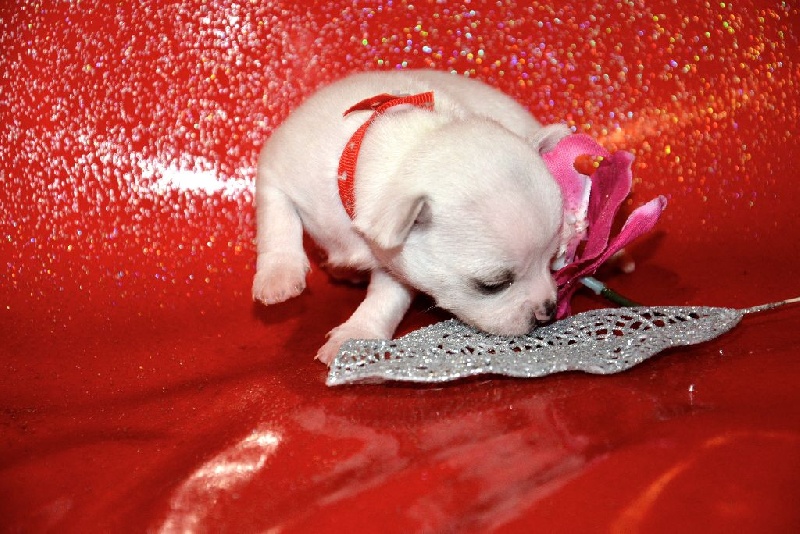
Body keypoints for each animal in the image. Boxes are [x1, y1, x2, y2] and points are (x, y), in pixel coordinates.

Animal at [252, 69, 570, 365]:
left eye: (550, 261)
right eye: (492, 285)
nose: (549, 310)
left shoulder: (397, 263)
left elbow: (387, 298)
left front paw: (355, 336)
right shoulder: (275, 170)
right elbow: (278, 218)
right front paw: (279, 275)